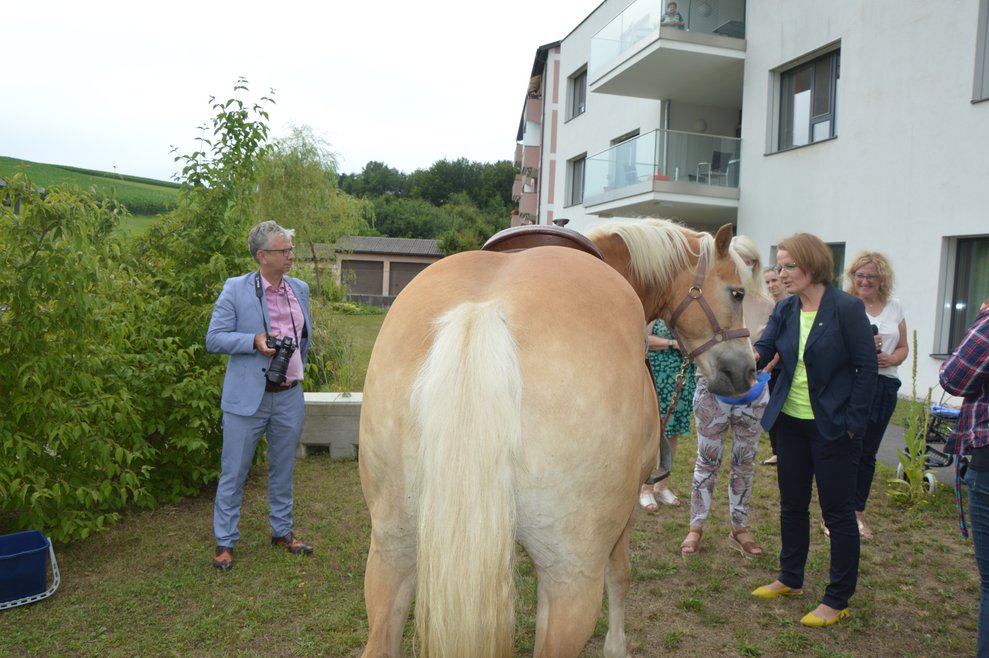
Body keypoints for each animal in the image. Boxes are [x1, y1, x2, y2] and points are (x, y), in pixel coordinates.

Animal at [358, 218, 755, 658]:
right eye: (737, 292)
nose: (747, 371)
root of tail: (483, 311)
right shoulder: (623, 520)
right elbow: (621, 577)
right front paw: (617, 647)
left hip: (392, 549)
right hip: (572, 577)